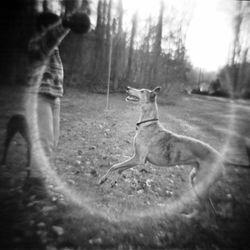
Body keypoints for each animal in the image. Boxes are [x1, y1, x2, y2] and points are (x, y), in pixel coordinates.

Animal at [99, 86, 227, 215]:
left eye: (142, 91)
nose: (127, 87)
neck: (148, 125)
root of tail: (221, 159)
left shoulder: (138, 159)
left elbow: (114, 166)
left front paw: (103, 179)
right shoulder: (138, 159)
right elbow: (120, 170)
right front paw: (112, 182)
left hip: (201, 181)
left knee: (207, 208)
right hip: (194, 178)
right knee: (204, 205)